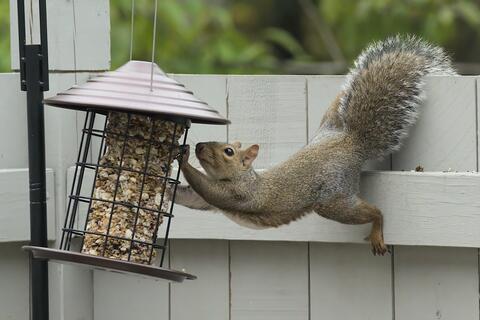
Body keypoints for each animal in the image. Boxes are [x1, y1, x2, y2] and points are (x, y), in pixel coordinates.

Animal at [174, 35, 456, 255]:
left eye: (228, 151)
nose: (199, 146)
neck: (242, 176)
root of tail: (350, 141)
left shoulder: (241, 193)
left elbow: (209, 190)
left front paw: (183, 158)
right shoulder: (210, 201)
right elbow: (192, 198)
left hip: (333, 199)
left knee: (374, 212)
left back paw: (377, 228)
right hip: (329, 122)